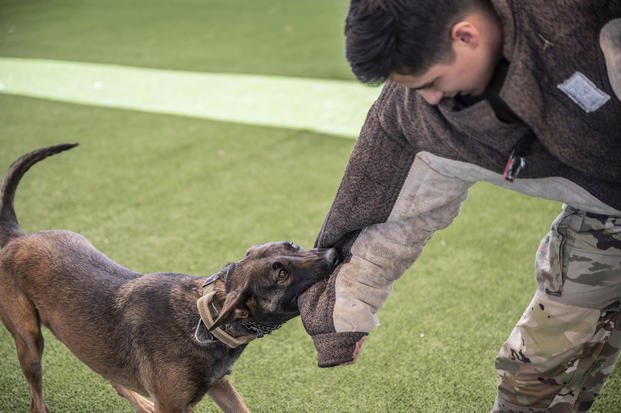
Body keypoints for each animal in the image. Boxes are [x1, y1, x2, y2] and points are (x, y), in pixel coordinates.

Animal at [0, 143, 340, 410]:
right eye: (281, 274)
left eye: (293, 246)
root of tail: (18, 237)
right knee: (37, 401)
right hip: (29, 342)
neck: (207, 315)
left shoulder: (219, 386)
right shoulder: (174, 405)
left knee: (114, 379)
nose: (333, 254)